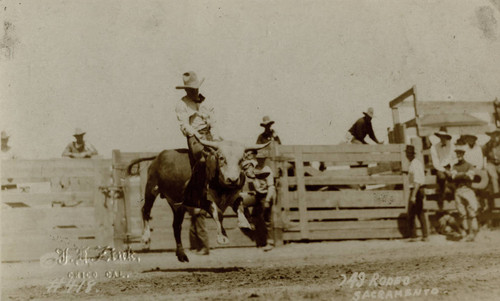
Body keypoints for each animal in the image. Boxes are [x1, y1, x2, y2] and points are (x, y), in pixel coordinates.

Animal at [127, 138, 272, 260]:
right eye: (221, 158)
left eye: (241, 160)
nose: (232, 179)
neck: (222, 187)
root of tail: (158, 156)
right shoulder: (201, 200)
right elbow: (218, 213)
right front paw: (222, 237)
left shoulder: (234, 197)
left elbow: (240, 206)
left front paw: (245, 224)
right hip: (151, 188)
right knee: (145, 210)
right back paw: (145, 238)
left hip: (176, 204)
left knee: (176, 226)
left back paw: (181, 255)